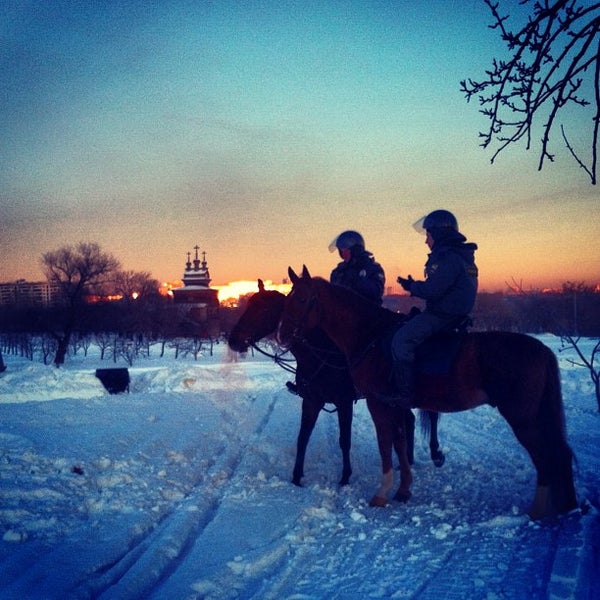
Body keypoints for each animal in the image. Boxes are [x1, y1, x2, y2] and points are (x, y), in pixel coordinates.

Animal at [227, 278, 442, 490]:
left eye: (263, 308)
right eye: (249, 304)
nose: (233, 340)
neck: (320, 355)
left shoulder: (344, 403)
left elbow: (344, 440)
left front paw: (345, 477)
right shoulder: (311, 401)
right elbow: (302, 438)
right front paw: (296, 477)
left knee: (430, 417)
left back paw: (434, 454)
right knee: (409, 421)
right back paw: (407, 461)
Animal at [280, 268, 576, 520]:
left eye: (303, 298)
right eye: (287, 299)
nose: (283, 335)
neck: (369, 336)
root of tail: (541, 350)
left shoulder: (377, 403)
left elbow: (385, 443)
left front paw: (381, 492)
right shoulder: (393, 405)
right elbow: (399, 443)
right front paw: (403, 489)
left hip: (523, 418)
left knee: (546, 457)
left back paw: (537, 513)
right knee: (559, 454)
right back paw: (567, 507)